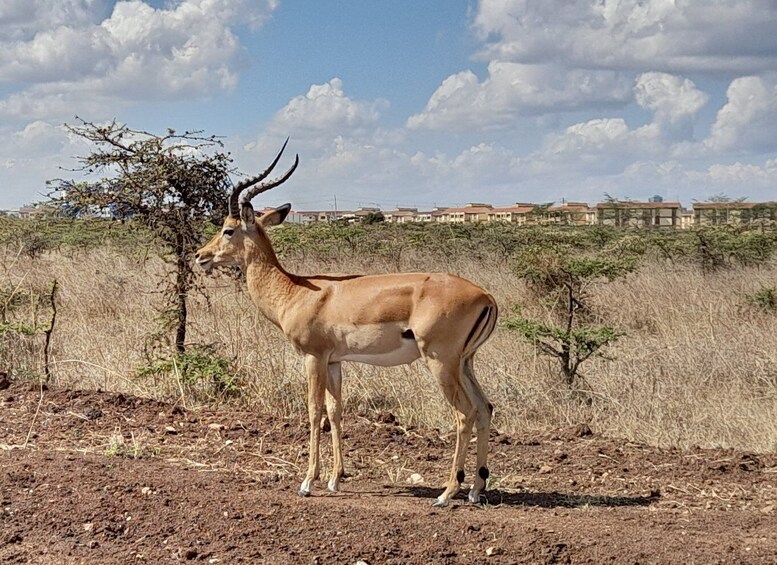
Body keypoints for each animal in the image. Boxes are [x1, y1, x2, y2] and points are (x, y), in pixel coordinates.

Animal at [196, 141, 498, 506]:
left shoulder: (313, 357)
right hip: (464, 363)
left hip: (440, 362)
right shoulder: (335, 361)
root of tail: (485, 295)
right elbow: (335, 409)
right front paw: (335, 479)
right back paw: (476, 489)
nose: (200, 256)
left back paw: (447, 492)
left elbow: (314, 411)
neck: (297, 291)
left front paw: (307, 481)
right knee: (485, 408)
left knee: (464, 413)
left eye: (228, 230)